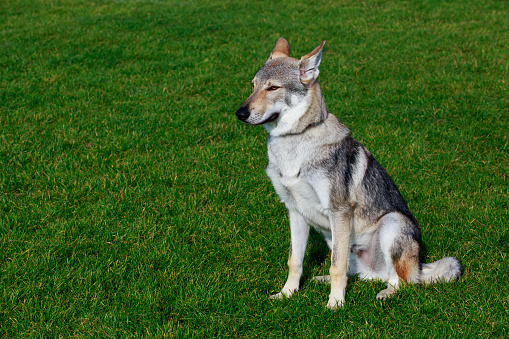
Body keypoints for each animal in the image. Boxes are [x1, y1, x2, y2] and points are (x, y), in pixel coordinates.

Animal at [234, 37, 460, 310]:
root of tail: (418, 266)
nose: (240, 113)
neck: (294, 143)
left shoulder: (339, 211)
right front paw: (287, 294)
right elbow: (295, 261)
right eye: (253, 86)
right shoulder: (294, 210)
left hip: (391, 223)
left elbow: (337, 267)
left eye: (273, 88)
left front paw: (335, 304)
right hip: (334, 237)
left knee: (402, 281)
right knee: (358, 273)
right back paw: (321, 280)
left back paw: (386, 293)